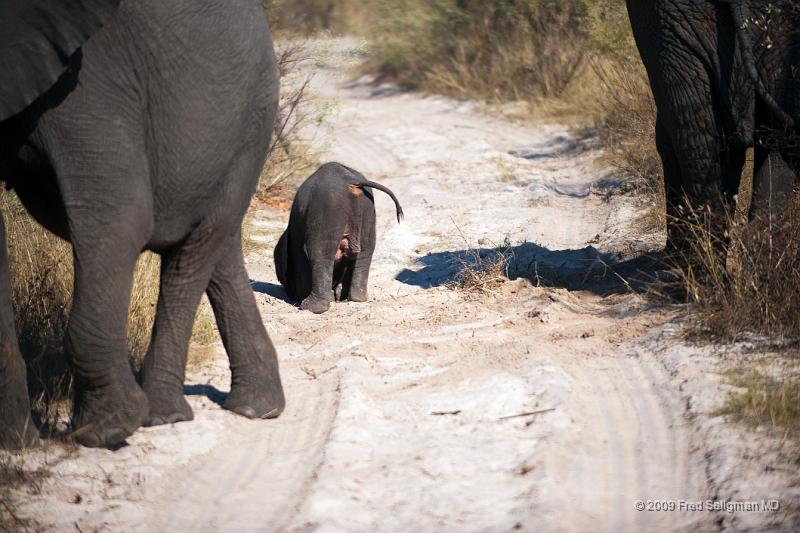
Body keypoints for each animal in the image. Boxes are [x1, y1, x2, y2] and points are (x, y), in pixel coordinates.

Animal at [0, 0, 286, 448]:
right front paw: (19, 445)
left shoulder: (89, 78)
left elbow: (122, 217)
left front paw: (106, 430)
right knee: (218, 244)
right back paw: (258, 408)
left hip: (251, 119)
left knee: (191, 252)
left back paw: (161, 415)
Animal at [276, 162, 404, 312]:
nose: (290, 295)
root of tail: (351, 182)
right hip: (368, 210)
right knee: (366, 250)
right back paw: (357, 299)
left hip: (328, 207)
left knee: (318, 253)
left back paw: (311, 307)